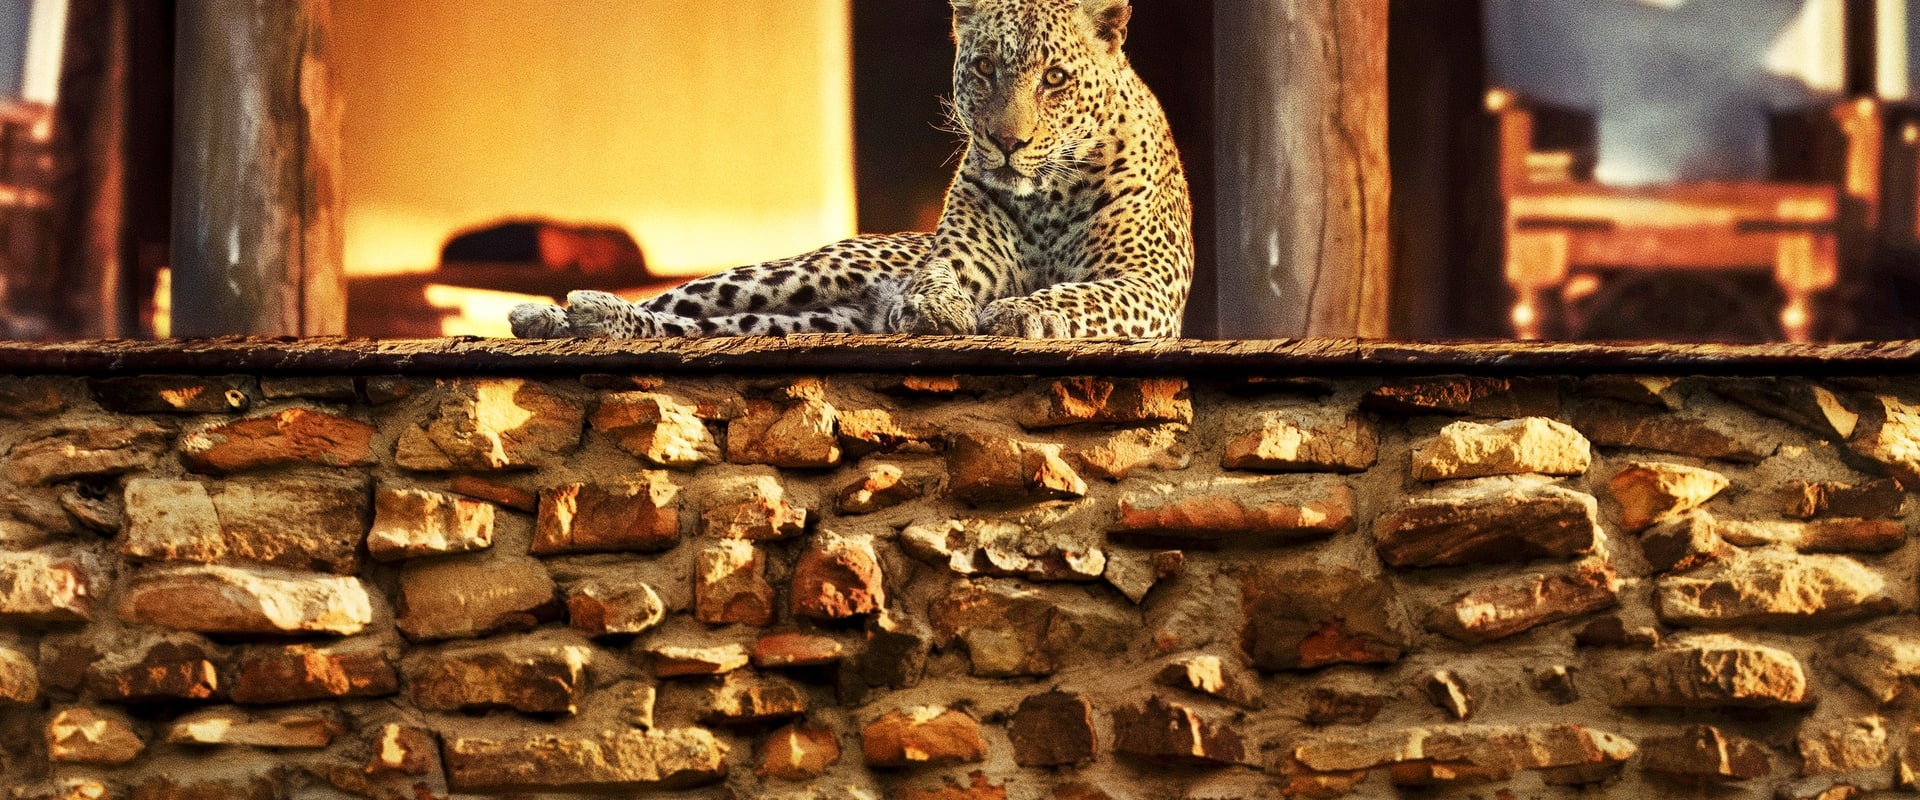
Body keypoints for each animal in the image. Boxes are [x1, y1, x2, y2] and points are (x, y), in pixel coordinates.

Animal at [506, 0, 1182, 339]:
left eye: (1055, 79)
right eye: (985, 67)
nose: (1006, 142)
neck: (1047, 194)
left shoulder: (1148, 284)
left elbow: (1089, 293)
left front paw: (1021, 311)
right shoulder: (957, 259)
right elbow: (936, 280)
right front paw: (941, 310)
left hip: (800, 316)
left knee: (694, 327)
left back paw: (585, 318)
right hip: (798, 274)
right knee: (680, 303)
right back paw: (555, 315)